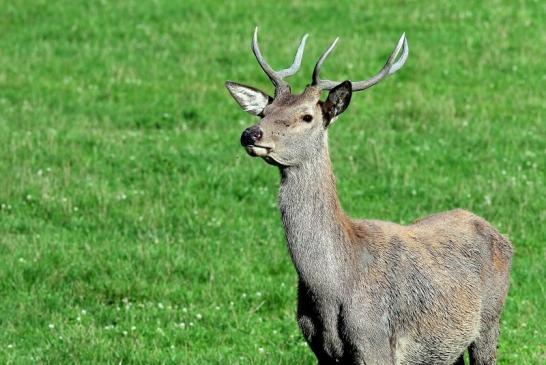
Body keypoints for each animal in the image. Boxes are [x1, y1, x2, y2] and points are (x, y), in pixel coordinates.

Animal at [224, 27, 510, 362]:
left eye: (307, 116)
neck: (330, 288)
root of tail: (502, 236)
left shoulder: (373, 341)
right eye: (265, 111)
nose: (250, 133)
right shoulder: (319, 348)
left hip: (490, 320)